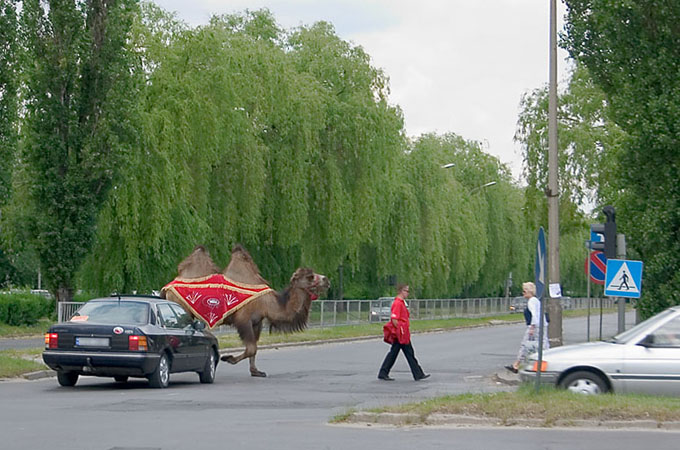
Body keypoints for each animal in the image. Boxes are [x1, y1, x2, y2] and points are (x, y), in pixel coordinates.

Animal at [165, 246, 330, 376]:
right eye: (310, 277)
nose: (326, 280)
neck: (268, 303)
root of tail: (168, 286)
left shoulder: (257, 322)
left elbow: (255, 348)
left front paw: (256, 371)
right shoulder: (243, 320)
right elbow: (251, 348)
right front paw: (228, 358)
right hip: (182, 307)